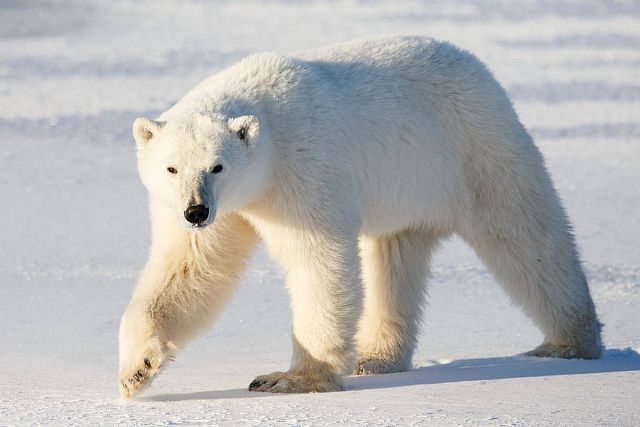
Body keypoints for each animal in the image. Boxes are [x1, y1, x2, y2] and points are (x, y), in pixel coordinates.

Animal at [117, 36, 604, 398]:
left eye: (217, 165)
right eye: (171, 168)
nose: (196, 210)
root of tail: (475, 64)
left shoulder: (302, 169)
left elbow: (318, 261)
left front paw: (290, 379)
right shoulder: (223, 209)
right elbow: (189, 271)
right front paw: (136, 370)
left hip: (474, 147)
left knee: (525, 235)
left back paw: (570, 342)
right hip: (408, 191)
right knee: (395, 258)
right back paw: (376, 357)